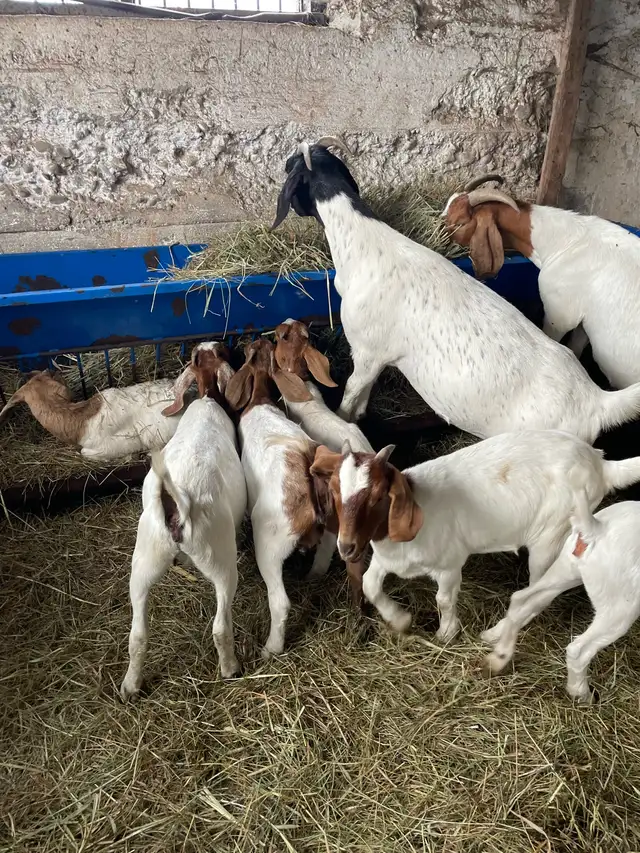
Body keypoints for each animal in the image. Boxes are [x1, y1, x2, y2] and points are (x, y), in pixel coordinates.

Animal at [120, 342, 247, 701]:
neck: (207, 398)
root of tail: (178, 507)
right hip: (220, 560)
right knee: (220, 626)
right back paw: (230, 669)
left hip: (145, 558)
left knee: (137, 634)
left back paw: (130, 686)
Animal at [309, 431, 640, 642]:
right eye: (335, 491)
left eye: (378, 496)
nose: (346, 547)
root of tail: (601, 465)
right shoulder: (385, 558)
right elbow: (369, 584)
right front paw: (400, 620)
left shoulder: (449, 565)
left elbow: (443, 599)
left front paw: (446, 633)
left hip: (550, 534)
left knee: (535, 593)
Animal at [483, 495, 640, 703]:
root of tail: (596, 529)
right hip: (620, 604)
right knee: (578, 650)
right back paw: (583, 695)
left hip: (565, 569)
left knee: (522, 600)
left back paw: (497, 655)